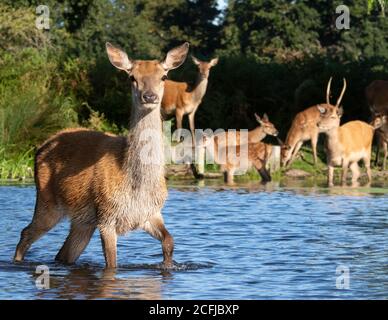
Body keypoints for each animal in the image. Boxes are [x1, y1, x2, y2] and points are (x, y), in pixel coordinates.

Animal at [12, 42, 188, 268]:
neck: (135, 186)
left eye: (164, 76)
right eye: (132, 77)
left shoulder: (150, 213)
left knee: (64, 253)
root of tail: (40, 148)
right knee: (26, 234)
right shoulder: (106, 216)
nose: (149, 96)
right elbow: (112, 263)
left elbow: (169, 241)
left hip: (82, 220)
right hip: (47, 201)